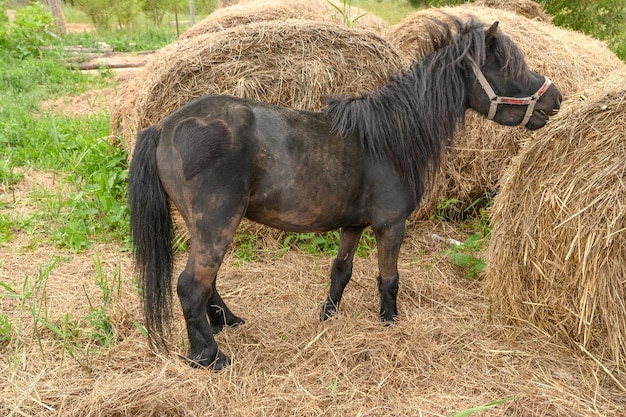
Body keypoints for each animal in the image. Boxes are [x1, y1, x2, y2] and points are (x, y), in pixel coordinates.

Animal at [128, 16, 560, 368]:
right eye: (508, 67)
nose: (555, 98)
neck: (388, 139)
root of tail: (162, 126)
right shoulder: (391, 226)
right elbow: (389, 279)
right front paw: (389, 322)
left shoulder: (352, 225)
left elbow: (341, 272)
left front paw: (328, 317)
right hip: (216, 225)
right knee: (191, 286)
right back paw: (209, 356)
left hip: (205, 228)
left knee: (208, 283)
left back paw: (227, 324)